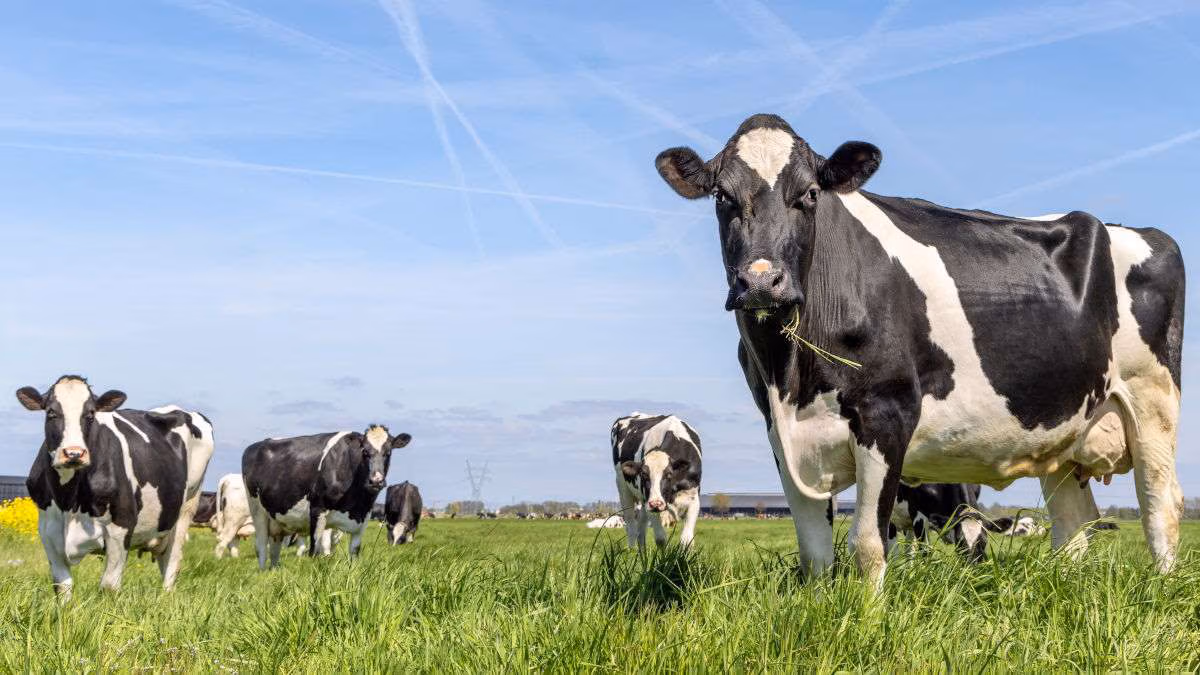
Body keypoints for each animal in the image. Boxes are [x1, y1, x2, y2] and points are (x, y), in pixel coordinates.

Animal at [16, 376, 214, 595]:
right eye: (51, 412)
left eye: (90, 414)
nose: (74, 453)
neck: (69, 501)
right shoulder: (49, 531)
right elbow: (62, 586)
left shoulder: (121, 527)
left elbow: (109, 586)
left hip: (187, 507)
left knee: (172, 564)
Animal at [242, 425, 411, 569]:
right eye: (365, 452)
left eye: (388, 453)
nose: (376, 480)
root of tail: (255, 446)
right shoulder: (317, 510)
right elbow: (314, 550)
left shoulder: (364, 517)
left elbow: (354, 552)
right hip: (257, 509)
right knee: (261, 545)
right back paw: (263, 572)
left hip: (277, 518)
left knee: (275, 546)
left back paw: (274, 571)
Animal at [611, 413, 703, 549]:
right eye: (643, 475)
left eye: (669, 474)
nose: (656, 503)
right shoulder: (649, 502)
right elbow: (660, 538)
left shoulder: (693, 499)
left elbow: (687, 540)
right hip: (623, 487)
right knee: (631, 526)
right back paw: (631, 551)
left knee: (641, 529)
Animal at [655, 113, 1184, 588]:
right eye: (722, 196)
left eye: (809, 194)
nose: (762, 281)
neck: (791, 377)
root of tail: (1135, 229)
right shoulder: (779, 431)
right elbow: (814, 550)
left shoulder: (887, 412)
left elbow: (869, 543)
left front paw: (867, 616)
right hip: (1065, 432)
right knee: (1074, 525)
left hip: (1151, 400)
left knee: (1161, 502)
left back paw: (1160, 587)